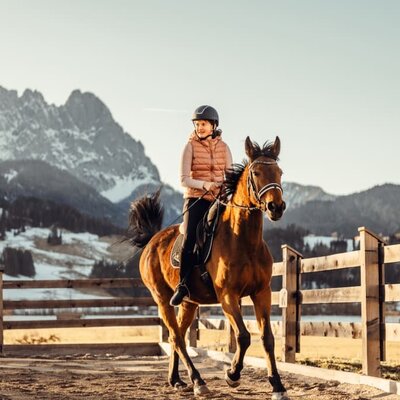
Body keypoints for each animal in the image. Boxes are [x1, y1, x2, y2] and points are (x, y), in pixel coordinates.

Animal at [128, 136, 288, 398]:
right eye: (255, 173)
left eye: (279, 172)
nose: (276, 207)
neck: (243, 240)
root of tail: (152, 240)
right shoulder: (227, 295)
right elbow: (243, 336)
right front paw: (232, 375)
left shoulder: (261, 292)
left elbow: (267, 338)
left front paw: (277, 385)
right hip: (162, 299)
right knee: (177, 338)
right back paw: (198, 381)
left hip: (189, 302)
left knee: (177, 338)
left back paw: (176, 380)